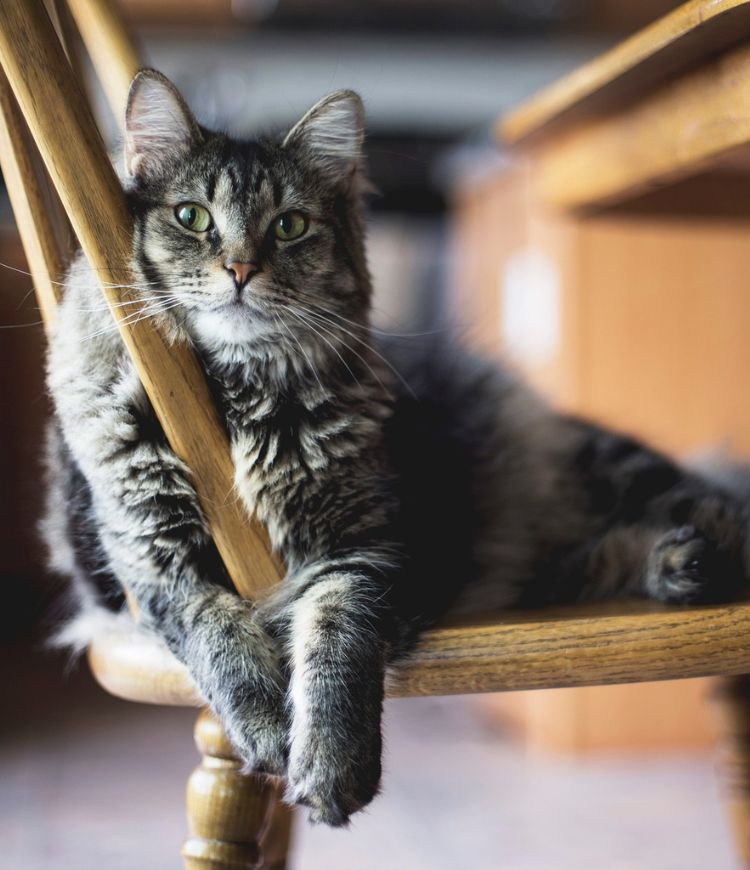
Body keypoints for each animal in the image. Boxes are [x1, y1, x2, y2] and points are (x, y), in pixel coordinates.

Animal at [44, 71, 750, 828]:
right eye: (192, 216)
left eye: (289, 225)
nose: (239, 269)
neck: (235, 398)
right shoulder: (154, 566)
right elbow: (219, 638)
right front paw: (267, 731)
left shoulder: (365, 550)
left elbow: (336, 648)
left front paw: (330, 764)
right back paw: (679, 565)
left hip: (609, 478)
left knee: (712, 508)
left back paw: (689, 560)